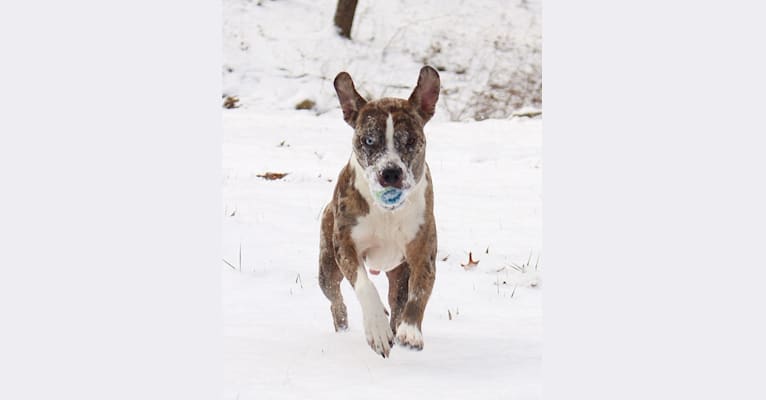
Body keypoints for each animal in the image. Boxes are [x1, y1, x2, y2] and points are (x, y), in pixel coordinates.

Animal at [318, 66, 440, 360]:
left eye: (411, 140)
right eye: (369, 140)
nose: (391, 172)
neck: (387, 212)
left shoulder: (422, 252)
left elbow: (419, 292)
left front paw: (410, 331)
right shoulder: (345, 245)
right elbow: (364, 285)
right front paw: (377, 330)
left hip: (398, 272)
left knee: (398, 300)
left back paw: (396, 324)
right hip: (327, 266)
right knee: (335, 296)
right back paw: (343, 325)